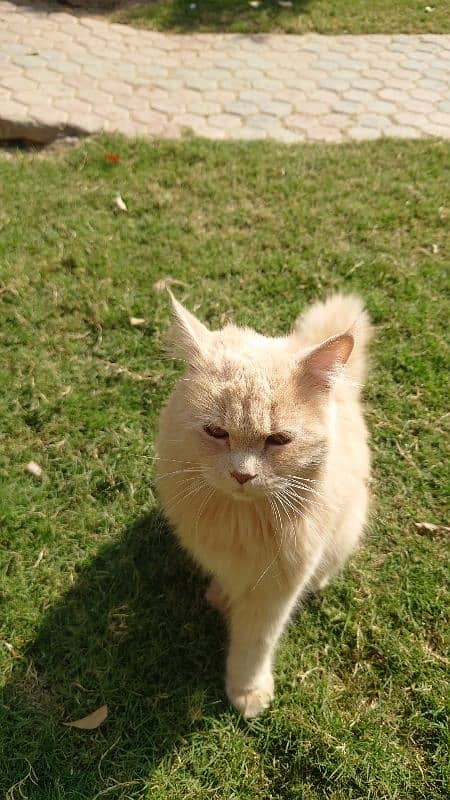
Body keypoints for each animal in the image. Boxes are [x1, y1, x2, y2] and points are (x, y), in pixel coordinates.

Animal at [156, 290, 370, 716]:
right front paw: (223, 595)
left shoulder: (275, 591)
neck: (240, 520)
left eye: (278, 440)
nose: (242, 475)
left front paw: (247, 693)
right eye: (216, 432)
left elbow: (254, 645)